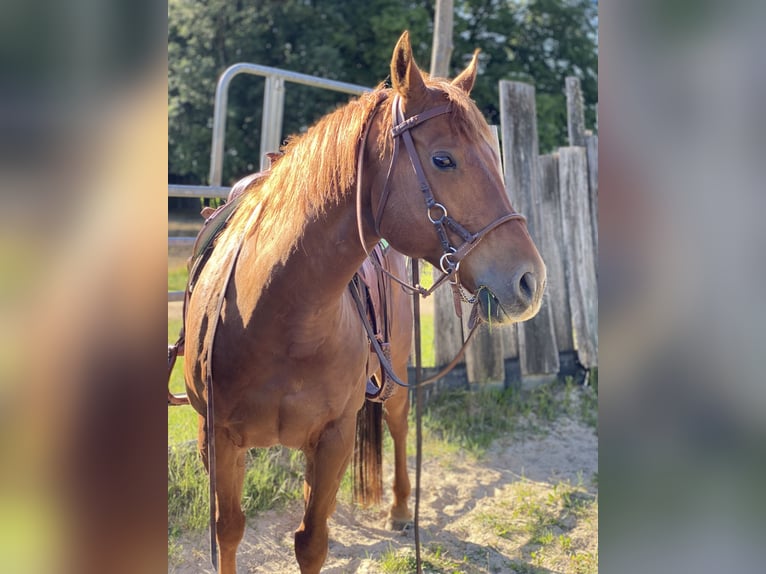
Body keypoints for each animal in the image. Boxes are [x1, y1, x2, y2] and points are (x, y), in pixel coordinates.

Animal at [184, 32, 548, 574]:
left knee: (397, 425)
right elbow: (227, 531)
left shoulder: (335, 436)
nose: (530, 281)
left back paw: (399, 509)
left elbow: (312, 542)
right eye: (443, 159)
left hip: (392, 381)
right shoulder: (219, 440)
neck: (279, 315)